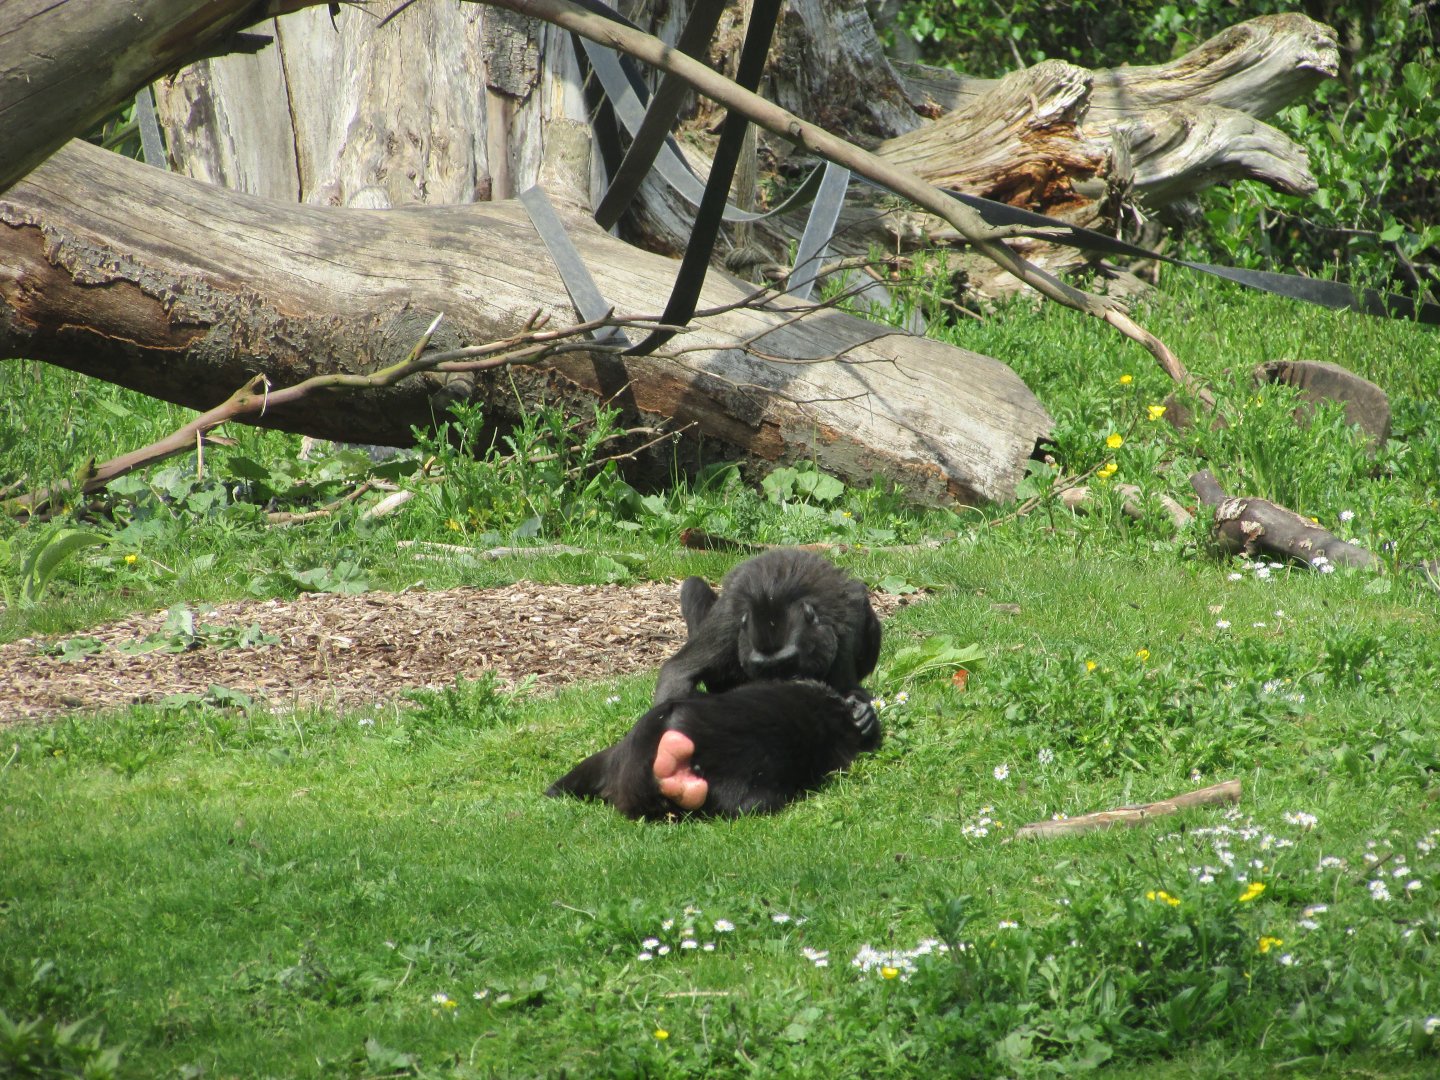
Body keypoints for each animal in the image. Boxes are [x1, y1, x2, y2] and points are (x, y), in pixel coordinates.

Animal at [652, 549, 881, 707]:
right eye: (764, 671)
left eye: (789, 665)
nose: (778, 694)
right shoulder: (728, 622)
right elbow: (679, 672)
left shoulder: (842, 628)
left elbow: (846, 690)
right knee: (694, 586)